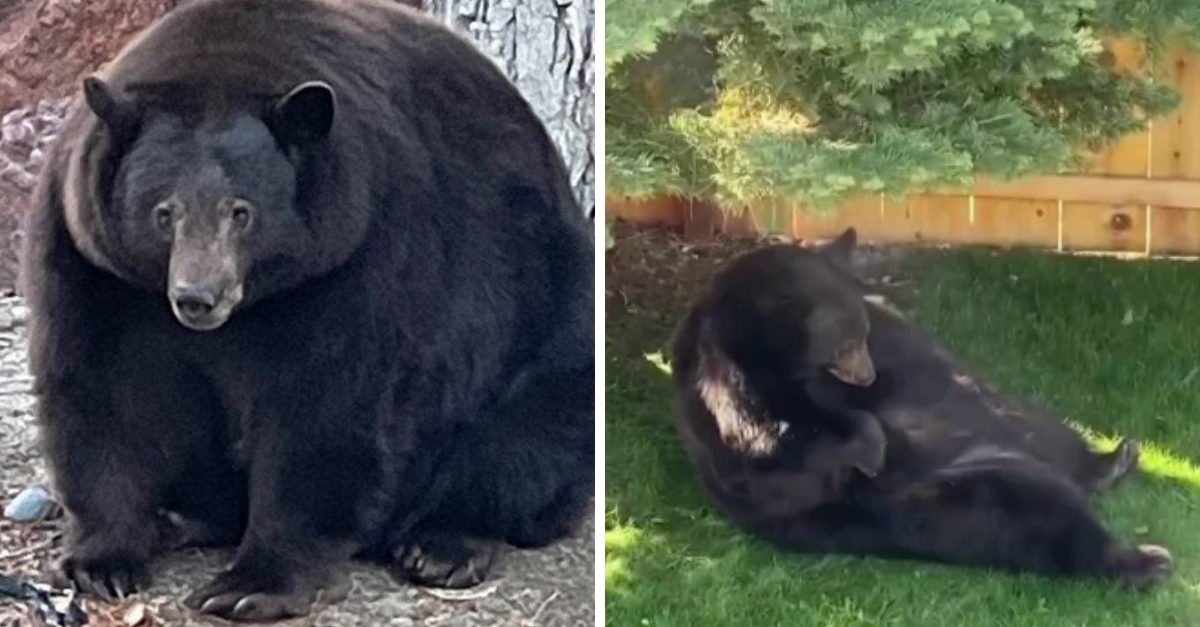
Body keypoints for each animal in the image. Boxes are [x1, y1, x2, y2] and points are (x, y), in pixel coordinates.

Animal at [21, 0, 594, 621]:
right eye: (164, 212)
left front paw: (249, 584)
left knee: (524, 441)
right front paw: (103, 560)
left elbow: (327, 406)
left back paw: (442, 544)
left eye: (241, 212)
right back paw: (180, 517)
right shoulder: (95, 263)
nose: (198, 297)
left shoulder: (363, 250)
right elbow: (106, 389)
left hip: (544, 317)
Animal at [669, 228, 1170, 588]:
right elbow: (775, 447)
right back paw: (1142, 559)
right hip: (950, 499)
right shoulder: (726, 380)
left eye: (859, 335)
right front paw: (869, 446)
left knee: (1047, 437)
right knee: (1035, 517)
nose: (864, 374)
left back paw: (1112, 461)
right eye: (843, 342)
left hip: (1019, 424)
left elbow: (913, 367)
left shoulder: (886, 336)